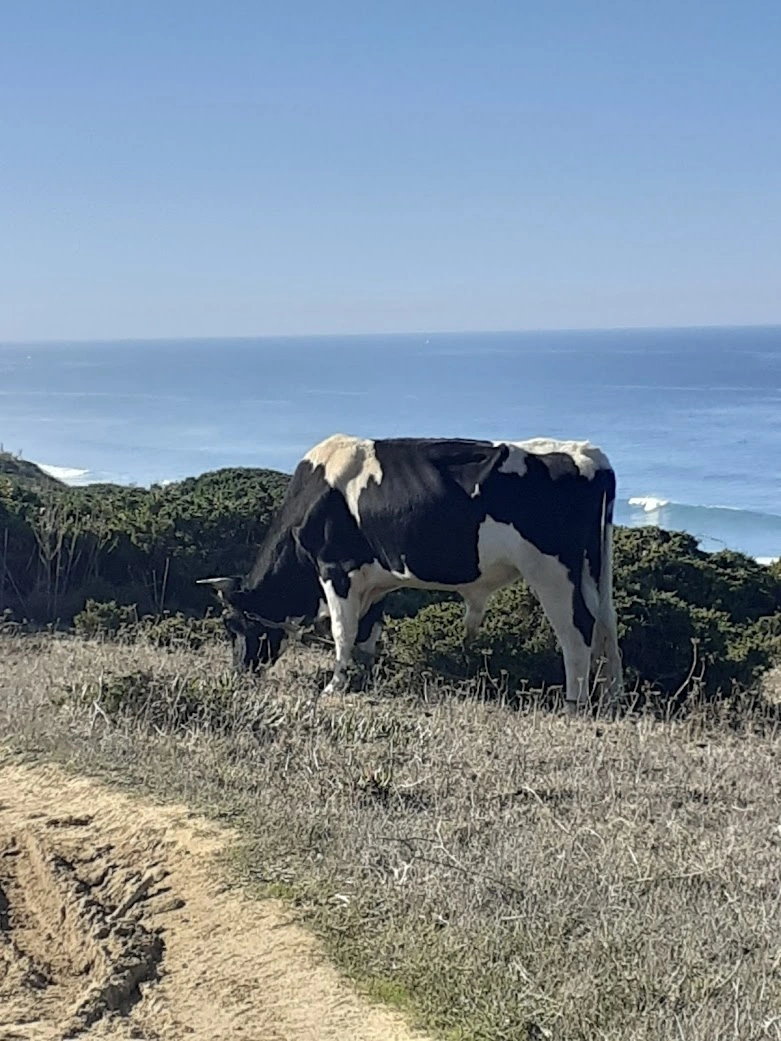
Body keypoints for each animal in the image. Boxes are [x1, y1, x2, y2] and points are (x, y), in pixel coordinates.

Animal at [199, 433, 624, 716]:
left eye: (234, 625)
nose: (237, 674)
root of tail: (588, 453)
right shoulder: (374, 581)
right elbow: (367, 636)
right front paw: (363, 682)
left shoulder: (336, 569)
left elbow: (342, 631)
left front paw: (335, 686)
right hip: (592, 568)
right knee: (607, 625)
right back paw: (611, 699)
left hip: (552, 569)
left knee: (578, 630)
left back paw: (574, 706)